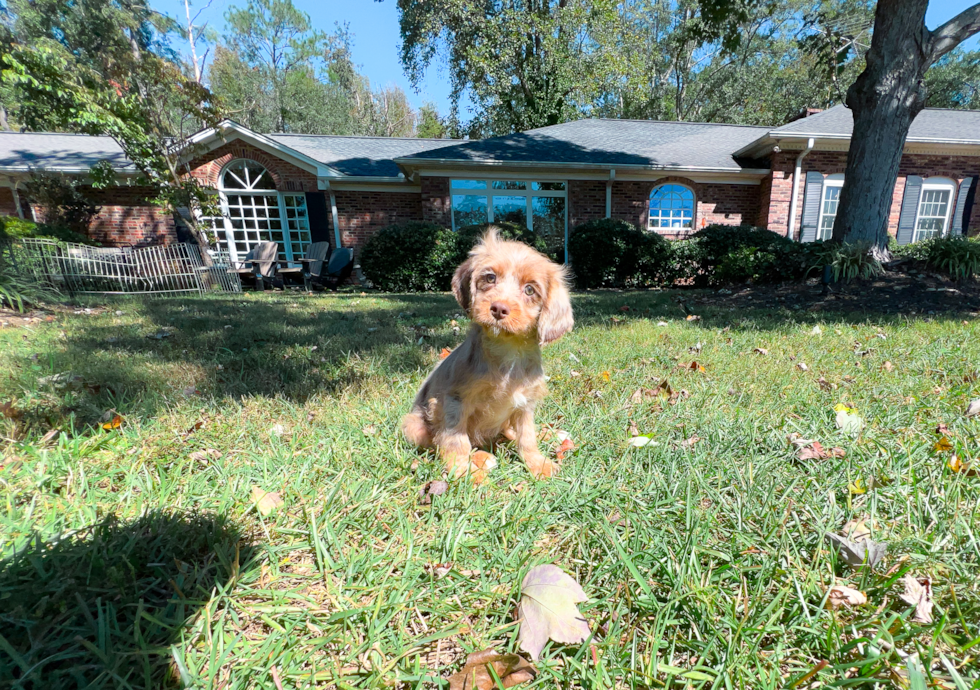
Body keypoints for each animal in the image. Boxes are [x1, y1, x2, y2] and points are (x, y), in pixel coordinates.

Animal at [400, 226, 576, 478]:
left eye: (530, 289)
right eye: (490, 277)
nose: (499, 308)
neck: (508, 351)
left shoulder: (525, 403)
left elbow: (527, 437)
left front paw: (538, 464)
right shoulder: (454, 401)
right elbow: (456, 441)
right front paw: (465, 473)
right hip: (413, 426)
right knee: (438, 443)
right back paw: (483, 458)